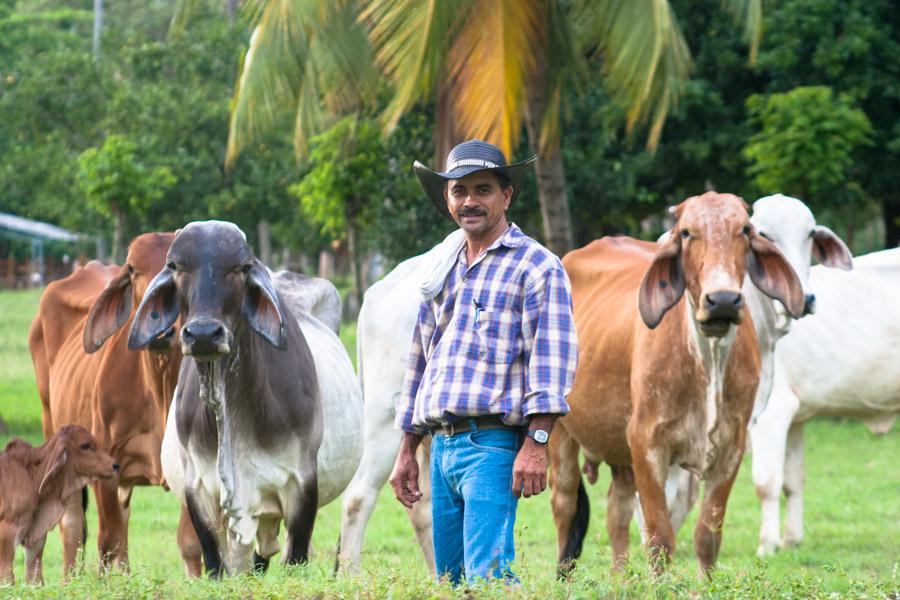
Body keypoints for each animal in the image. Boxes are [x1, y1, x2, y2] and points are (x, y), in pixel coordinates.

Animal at [0, 424, 118, 584]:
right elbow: (7, 579)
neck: (32, 477)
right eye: (85, 445)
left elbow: (35, 580)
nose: (115, 465)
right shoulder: (7, 533)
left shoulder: (36, 538)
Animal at [27, 233, 200, 576]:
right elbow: (108, 542)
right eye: (132, 269)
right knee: (71, 526)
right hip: (52, 429)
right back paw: (67, 579)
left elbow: (189, 543)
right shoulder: (105, 464)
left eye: (177, 267)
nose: (160, 329)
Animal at [552, 193, 804, 576]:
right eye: (686, 232)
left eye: (745, 230)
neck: (707, 359)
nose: (723, 300)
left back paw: (621, 581)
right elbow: (659, 538)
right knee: (565, 509)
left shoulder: (730, 447)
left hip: (618, 451)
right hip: (560, 437)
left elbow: (707, 536)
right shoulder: (647, 443)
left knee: (617, 512)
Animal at [752, 246, 900, 556]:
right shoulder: (795, 418)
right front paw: (791, 540)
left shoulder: (772, 410)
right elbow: (792, 480)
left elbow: (766, 482)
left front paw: (767, 546)